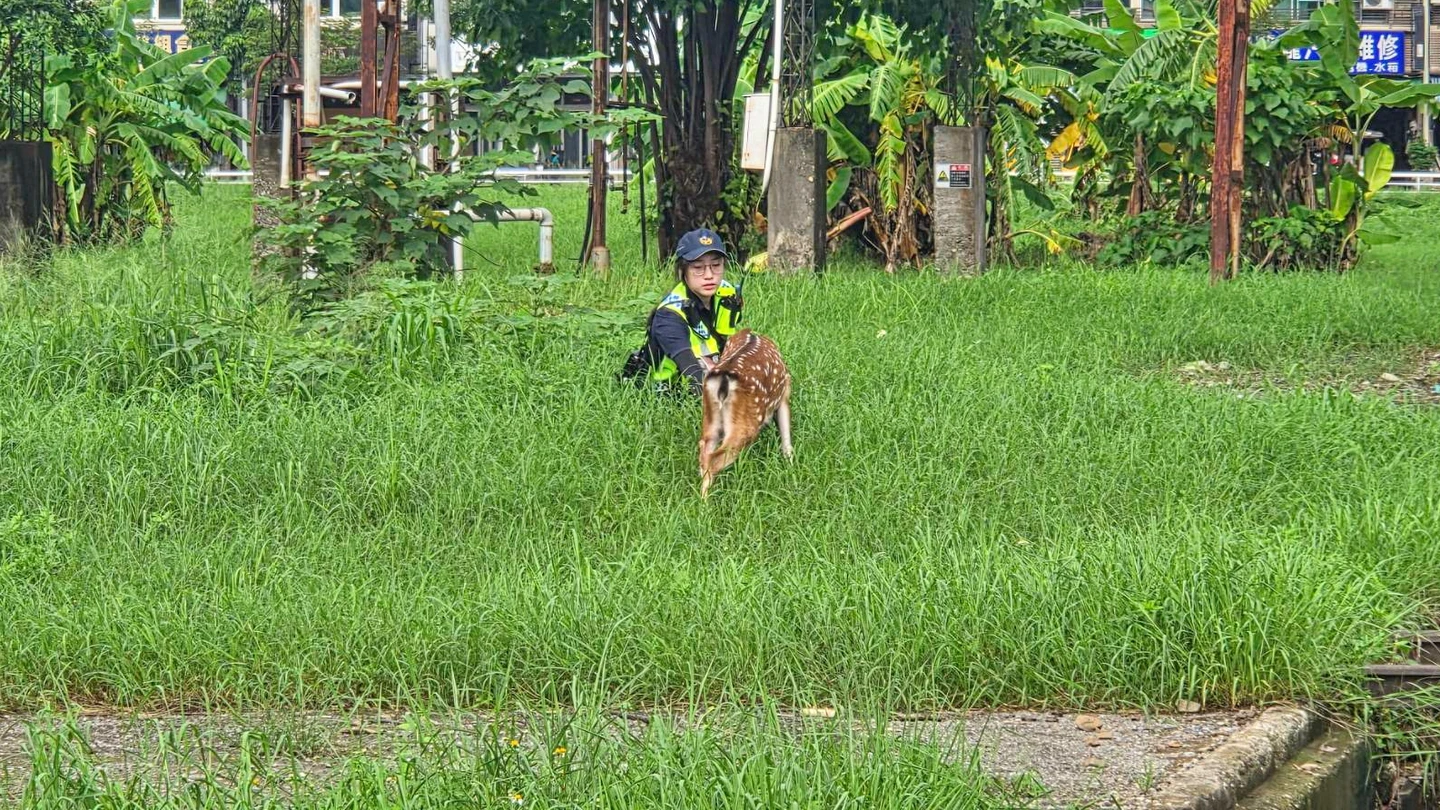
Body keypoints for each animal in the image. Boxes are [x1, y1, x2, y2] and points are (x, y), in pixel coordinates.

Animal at [699, 328, 793, 498]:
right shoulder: (785, 392)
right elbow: (786, 436)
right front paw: (791, 468)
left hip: (710, 418)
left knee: (704, 449)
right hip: (747, 424)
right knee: (714, 459)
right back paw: (705, 502)